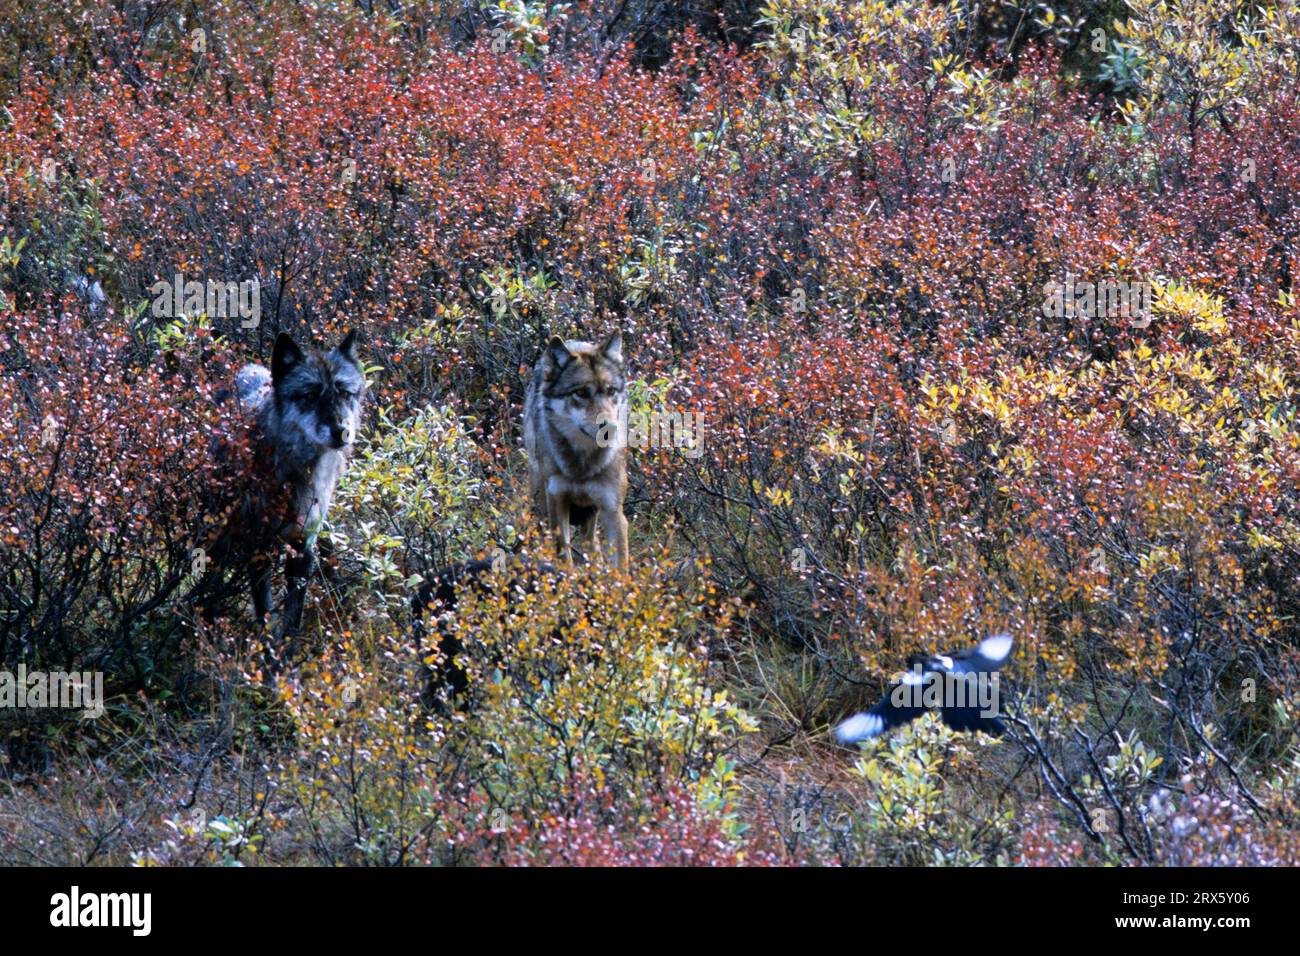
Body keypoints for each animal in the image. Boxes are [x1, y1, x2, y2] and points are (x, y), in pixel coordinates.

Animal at [230, 332, 366, 639]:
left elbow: (293, 619)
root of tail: (251, 369)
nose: (342, 432)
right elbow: (266, 612)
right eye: (310, 396)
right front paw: (269, 650)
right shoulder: (258, 549)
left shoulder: (303, 548)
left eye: (345, 393)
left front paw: (287, 650)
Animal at [525, 335, 631, 567]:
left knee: (592, 542)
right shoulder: (557, 500)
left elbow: (620, 569)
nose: (610, 428)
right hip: (539, 498)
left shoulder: (613, 511)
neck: (582, 465)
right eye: (581, 392)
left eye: (611, 391)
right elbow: (564, 555)